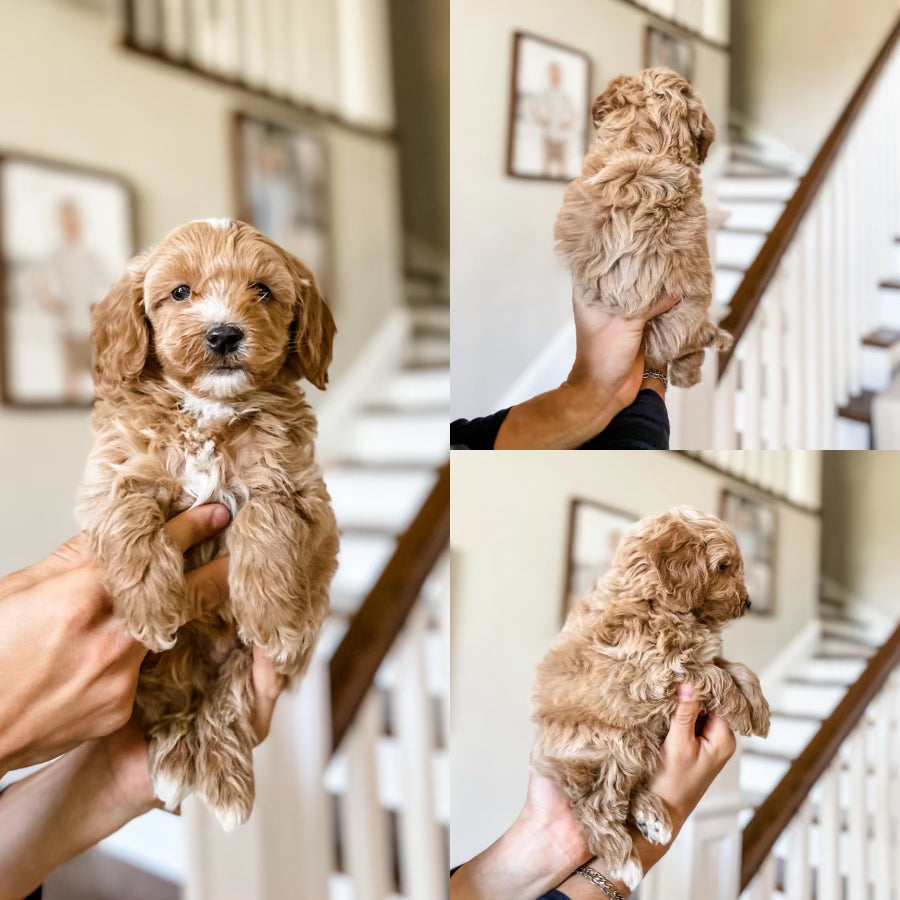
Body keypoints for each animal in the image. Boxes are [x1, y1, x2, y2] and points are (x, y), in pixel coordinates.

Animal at [74, 216, 338, 828]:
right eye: (179, 293)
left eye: (261, 290)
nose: (222, 335)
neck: (208, 410)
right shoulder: (113, 470)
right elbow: (127, 509)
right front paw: (151, 602)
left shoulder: (302, 490)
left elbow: (266, 516)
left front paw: (270, 612)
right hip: (165, 671)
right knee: (175, 703)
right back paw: (176, 759)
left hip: (242, 664)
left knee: (223, 701)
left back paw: (220, 778)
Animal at [532, 510, 768, 888]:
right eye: (724, 566)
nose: (749, 603)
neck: (654, 598)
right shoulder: (655, 674)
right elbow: (715, 676)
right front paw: (742, 712)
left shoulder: (700, 656)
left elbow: (736, 667)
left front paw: (759, 710)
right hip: (617, 742)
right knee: (599, 804)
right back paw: (625, 862)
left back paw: (651, 816)